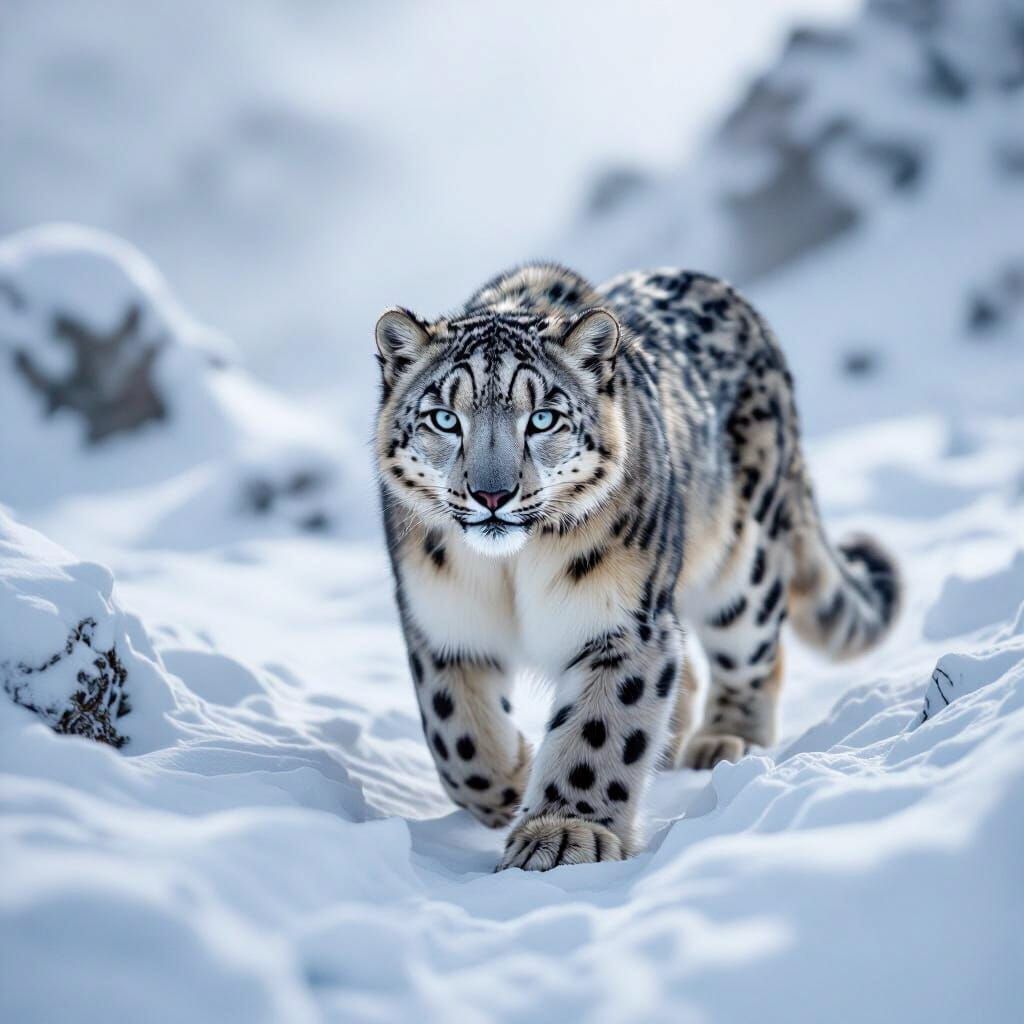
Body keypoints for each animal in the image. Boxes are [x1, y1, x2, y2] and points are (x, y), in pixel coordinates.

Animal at [374, 262, 900, 871]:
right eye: (444, 418)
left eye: (543, 419)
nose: (491, 494)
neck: (510, 573)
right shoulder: (443, 623)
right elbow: (457, 737)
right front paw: (514, 782)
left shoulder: (623, 623)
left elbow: (598, 732)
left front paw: (561, 834)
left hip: (742, 564)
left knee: (751, 650)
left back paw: (727, 741)